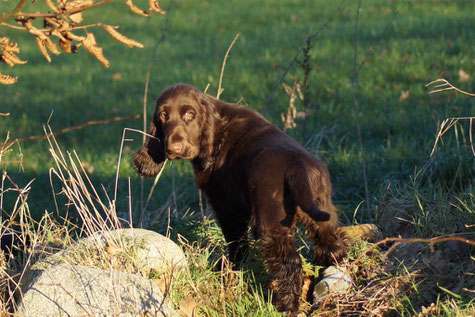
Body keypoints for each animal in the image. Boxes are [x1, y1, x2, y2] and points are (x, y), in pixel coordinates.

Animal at [134, 83, 346, 312]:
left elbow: (236, 241)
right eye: (163, 116)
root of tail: (295, 164)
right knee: (331, 242)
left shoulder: (226, 205)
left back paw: (286, 304)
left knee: (289, 262)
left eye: (189, 114)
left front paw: (232, 268)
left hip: (270, 222)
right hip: (322, 211)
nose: (174, 148)